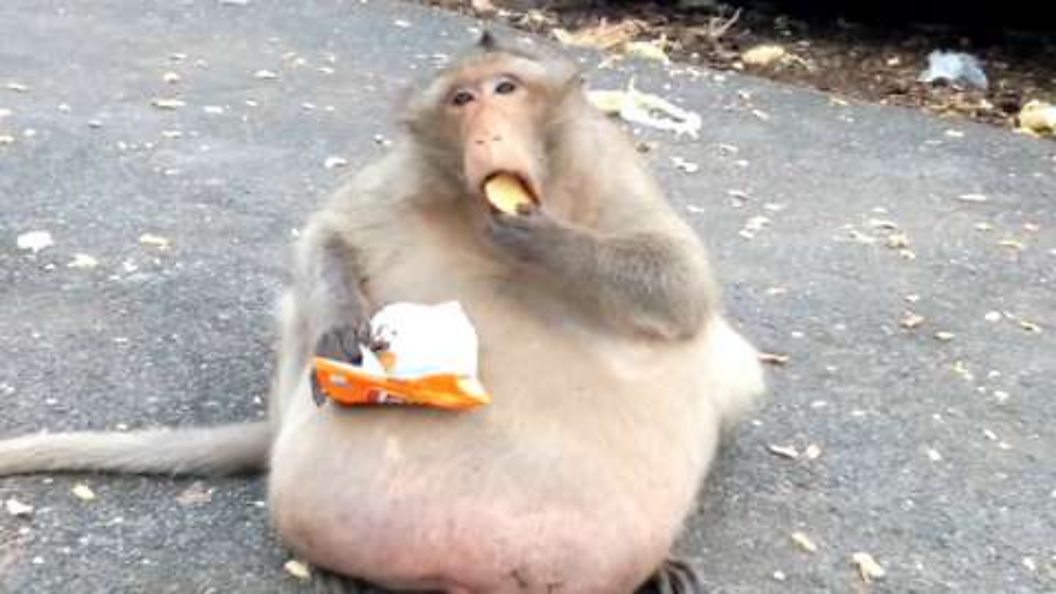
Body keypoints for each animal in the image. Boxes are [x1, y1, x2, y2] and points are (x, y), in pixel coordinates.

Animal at [0, 33, 765, 593]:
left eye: (506, 89)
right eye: (462, 98)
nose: (487, 134)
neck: (474, 209)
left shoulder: (609, 165)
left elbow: (681, 285)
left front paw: (542, 239)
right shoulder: (402, 176)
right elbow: (325, 236)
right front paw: (343, 324)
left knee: (726, 355)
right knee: (298, 308)